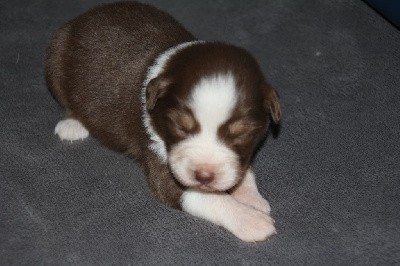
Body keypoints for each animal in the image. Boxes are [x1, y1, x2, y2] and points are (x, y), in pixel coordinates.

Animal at [46, 1, 282, 242]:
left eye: (241, 133)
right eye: (180, 127)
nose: (204, 176)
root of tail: (82, 17)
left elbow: (243, 169)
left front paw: (251, 197)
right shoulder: (162, 164)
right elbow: (209, 199)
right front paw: (251, 220)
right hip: (56, 58)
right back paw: (73, 124)